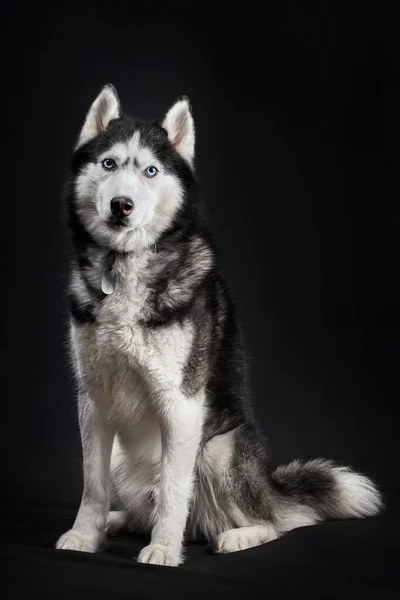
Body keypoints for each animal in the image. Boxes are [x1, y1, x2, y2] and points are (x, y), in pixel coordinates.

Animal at [54, 85, 382, 568]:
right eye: (109, 164)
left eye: (150, 171)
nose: (121, 206)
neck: (124, 266)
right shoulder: (93, 400)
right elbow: (91, 484)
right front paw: (84, 534)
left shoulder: (181, 402)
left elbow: (174, 489)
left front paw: (163, 549)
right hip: (124, 456)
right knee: (144, 508)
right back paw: (118, 522)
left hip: (219, 449)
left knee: (278, 521)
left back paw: (236, 536)